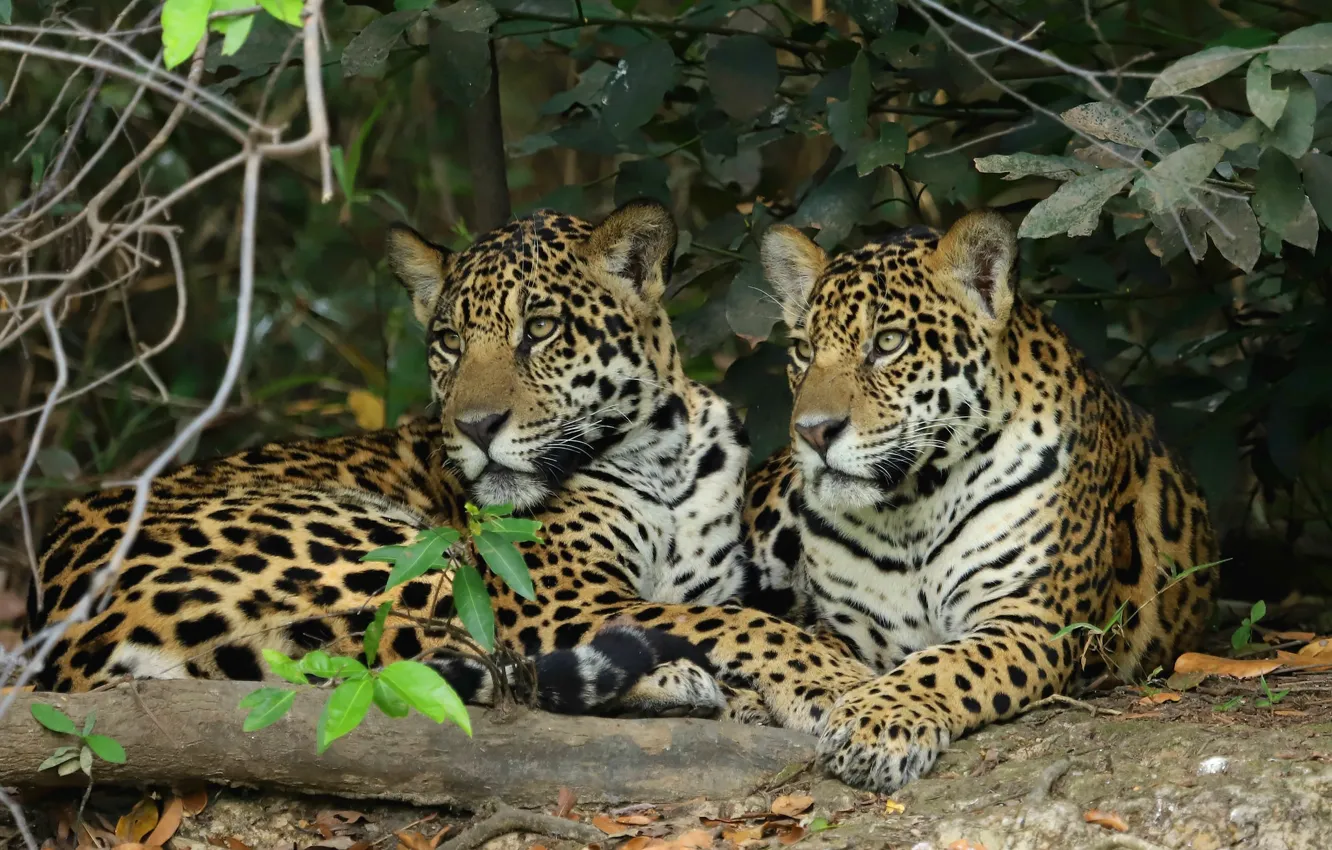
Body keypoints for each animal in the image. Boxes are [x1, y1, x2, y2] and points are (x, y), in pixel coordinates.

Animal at [25, 199, 874, 733]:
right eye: (449, 343)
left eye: (541, 330)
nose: (474, 426)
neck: (657, 457)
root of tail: (60, 646)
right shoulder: (552, 597)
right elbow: (730, 621)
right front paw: (831, 679)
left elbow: (728, 607)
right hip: (402, 556)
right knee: (473, 663)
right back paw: (679, 679)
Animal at [742, 209, 1220, 792]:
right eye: (803, 351)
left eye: (889, 342)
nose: (813, 432)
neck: (908, 510)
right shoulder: (847, 630)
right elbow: (803, 645)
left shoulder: (1035, 620)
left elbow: (946, 664)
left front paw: (875, 723)